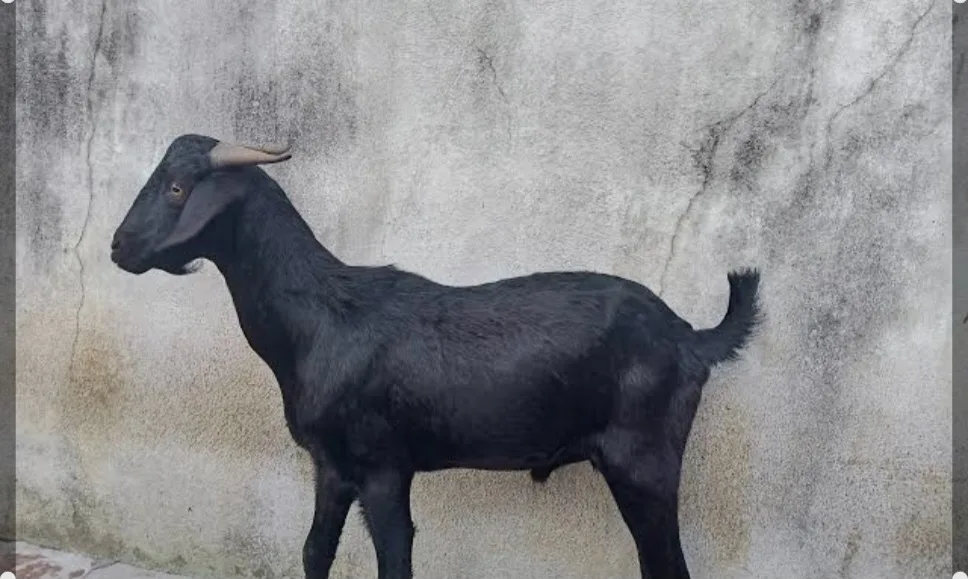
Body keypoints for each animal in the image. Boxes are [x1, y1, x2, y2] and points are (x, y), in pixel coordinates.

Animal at [110, 134, 762, 579]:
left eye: (177, 187)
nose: (119, 248)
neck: (322, 317)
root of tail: (689, 337)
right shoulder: (331, 465)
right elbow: (314, 551)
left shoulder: (383, 466)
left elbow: (395, 560)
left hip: (644, 462)